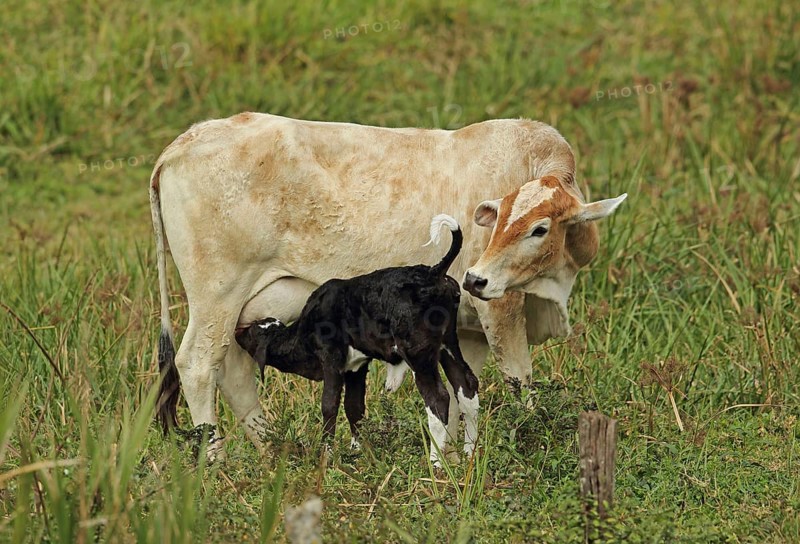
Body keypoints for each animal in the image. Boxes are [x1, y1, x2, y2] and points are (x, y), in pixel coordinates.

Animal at [149, 113, 626, 459]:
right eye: (499, 221)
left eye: (539, 228)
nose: (475, 278)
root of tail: (186, 139)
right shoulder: (500, 309)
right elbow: (519, 380)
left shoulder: (463, 332)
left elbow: (459, 395)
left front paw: (453, 458)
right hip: (217, 296)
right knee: (197, 364)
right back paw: (215, 461)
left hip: (247, 307)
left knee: (232, 369)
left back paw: (270, 451)